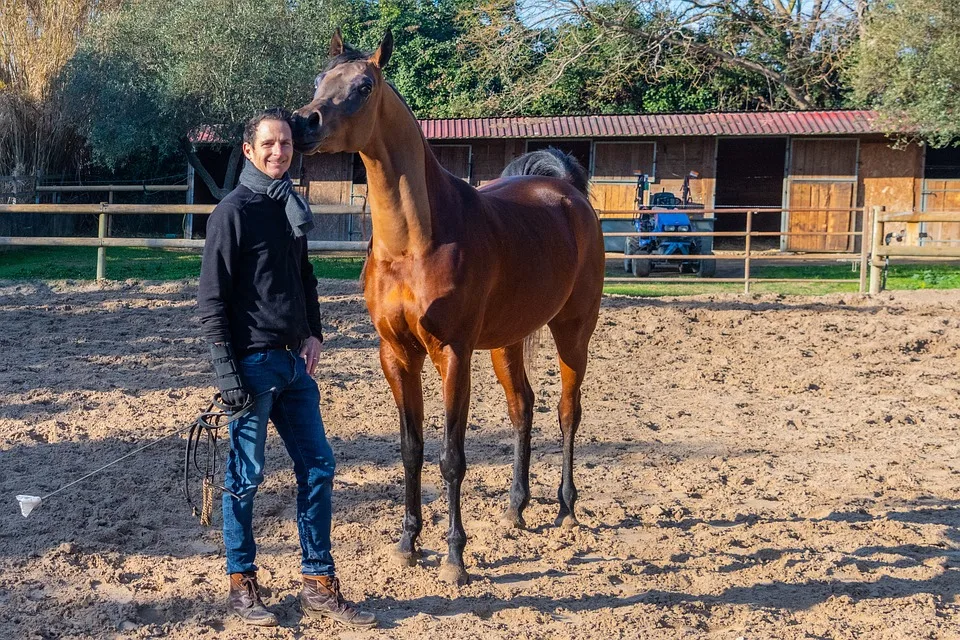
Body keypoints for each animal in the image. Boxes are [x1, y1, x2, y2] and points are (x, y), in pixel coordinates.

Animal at [290, 30, 600, 584]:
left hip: (573, 331)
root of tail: (566, 192)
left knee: (568, 412)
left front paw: (455, 556)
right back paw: (516, 508)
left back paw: (566, 508)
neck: (413, 245)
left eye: (364, 86)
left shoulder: (452, 354)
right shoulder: (397, 355)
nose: (304, 122)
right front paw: (407, 543)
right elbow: (411, 450)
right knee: (523, 408)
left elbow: (451, 456)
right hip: (506, 343)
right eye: (320, 79)